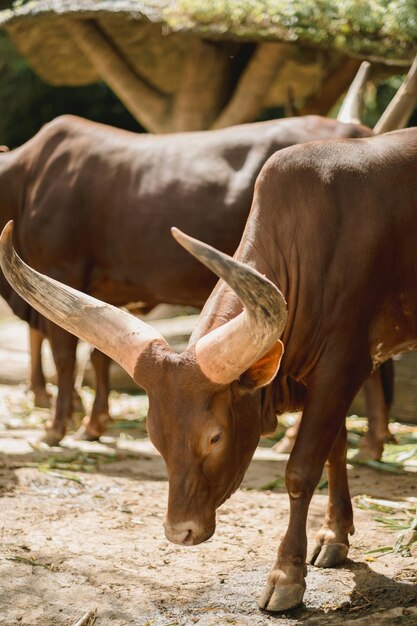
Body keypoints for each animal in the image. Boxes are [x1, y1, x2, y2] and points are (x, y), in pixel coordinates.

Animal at [0, 59, 412, 448]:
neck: (25, 178)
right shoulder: (102, 293)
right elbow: (99, 355)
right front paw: (93, 424)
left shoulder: (61, 269)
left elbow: (66, 358)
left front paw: (56, 428)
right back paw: (372, 443)